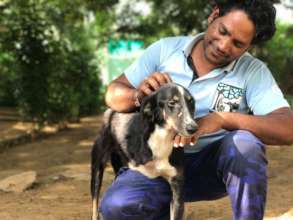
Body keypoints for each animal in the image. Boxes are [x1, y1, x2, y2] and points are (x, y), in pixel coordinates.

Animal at [90, 83, 197, 220]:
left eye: (191, 102)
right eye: (172, 103)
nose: (193, 128)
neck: (162, 138)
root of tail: (111, 110)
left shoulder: (177, 186)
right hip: (97, 167)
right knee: (95, 205)